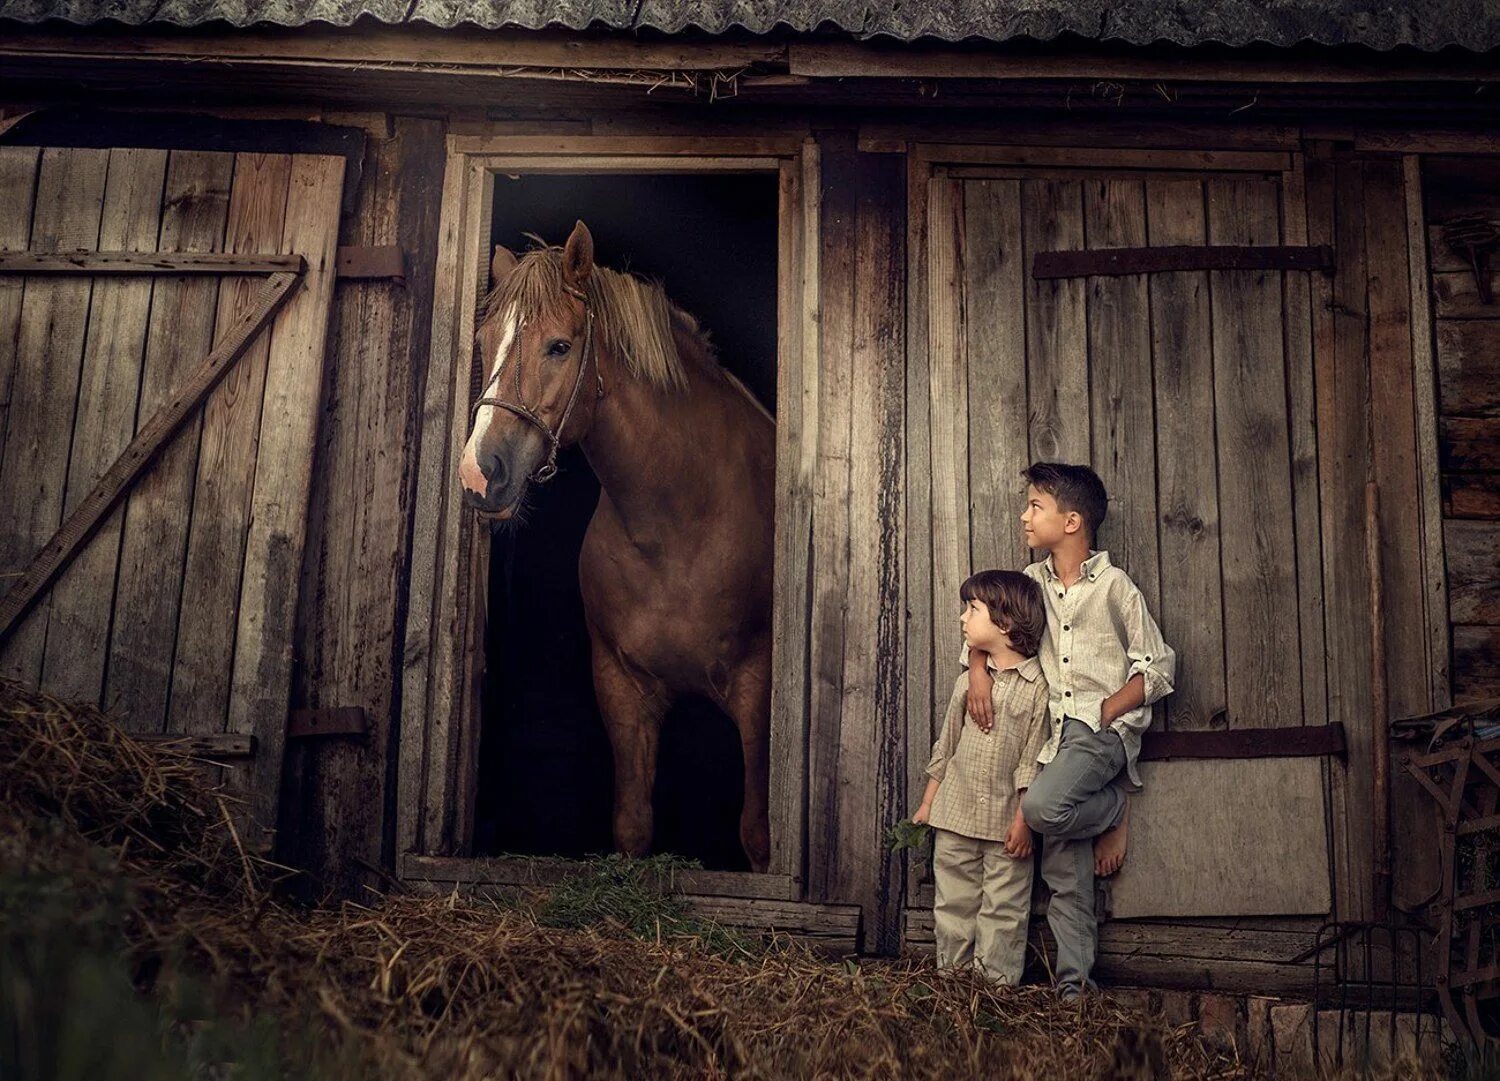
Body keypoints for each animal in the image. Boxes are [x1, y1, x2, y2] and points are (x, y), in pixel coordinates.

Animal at [456, 218, 774, 869]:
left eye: (559, 346)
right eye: (485, 340)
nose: (479, 473)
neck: (677, 525)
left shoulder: (758, 688)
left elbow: (757, 832)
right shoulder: (622, 688)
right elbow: (631, 827)